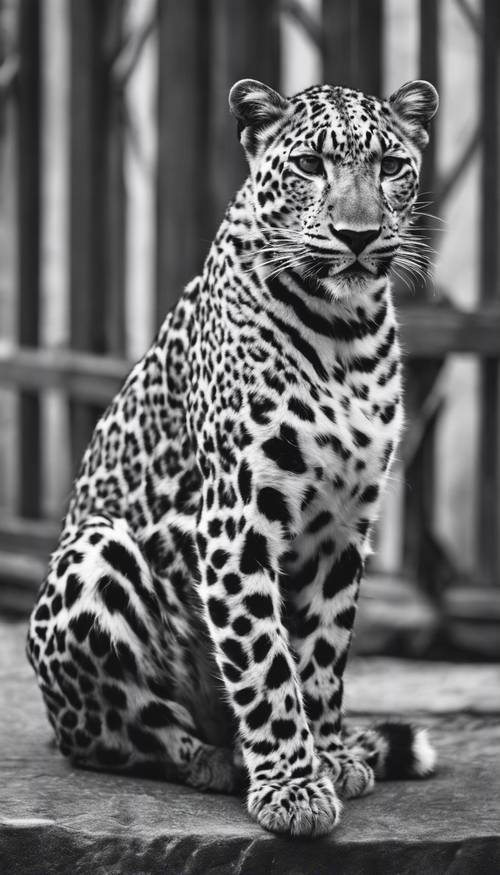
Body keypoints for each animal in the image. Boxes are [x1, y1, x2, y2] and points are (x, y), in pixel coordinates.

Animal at [29, 78, 440, 840]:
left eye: (392, 167)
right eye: (310, 164)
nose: (359, 236)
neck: (346, 331)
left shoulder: (343, 525)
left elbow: (321, 657)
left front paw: (329, 756)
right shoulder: (238, 517)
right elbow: (265, 661)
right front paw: (292, 787)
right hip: (95, 552)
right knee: (118, 735)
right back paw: (218, 760)